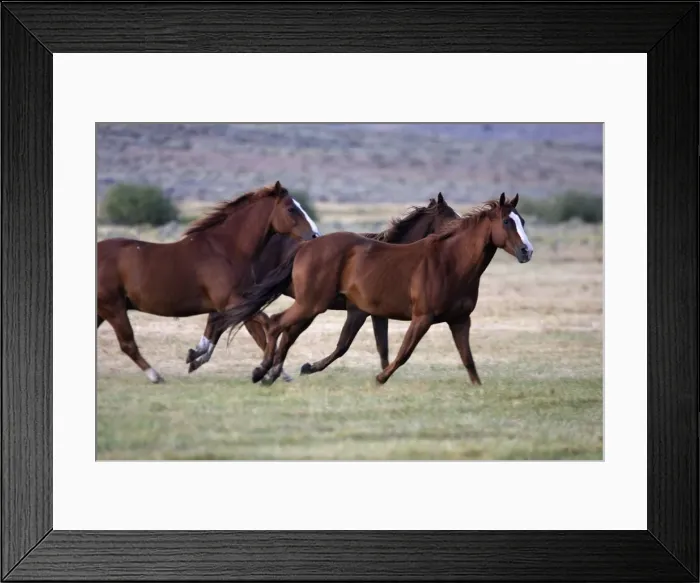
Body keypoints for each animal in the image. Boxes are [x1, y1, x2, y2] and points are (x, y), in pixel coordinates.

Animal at [96, 181, 320, 383]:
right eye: (291, 209)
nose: (315, 235)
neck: (226, 250)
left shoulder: (229, 305)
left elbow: (216, 330)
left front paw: (194, 356)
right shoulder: (234, 303)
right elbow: (263, 327)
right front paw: (272, 372)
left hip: (104, 310)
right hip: (113, 307)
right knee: (128, 344)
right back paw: (155, 376)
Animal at [184, 193, 461, 379]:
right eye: (452, 217)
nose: (461, 232)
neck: (390, 252)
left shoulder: (372, 313)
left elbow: (379, 347)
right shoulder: (360, 312)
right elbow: (345, 345)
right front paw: (308, 367)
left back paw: (200, 357)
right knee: (231, 318)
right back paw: (203, 357)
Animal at [213, 193, 534, 386]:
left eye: (522, 220)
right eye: (507, 221)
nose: (527, 251)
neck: (450, 262)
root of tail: (306, 246)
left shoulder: (458, 320)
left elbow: (467, 359)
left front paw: (478, 389)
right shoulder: (421, 317)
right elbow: (401, 352)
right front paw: (381, 378)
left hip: (311, 306)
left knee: (282, 329)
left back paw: (269, 372)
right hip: (311, 304)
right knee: (275, 324)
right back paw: (263, 371)